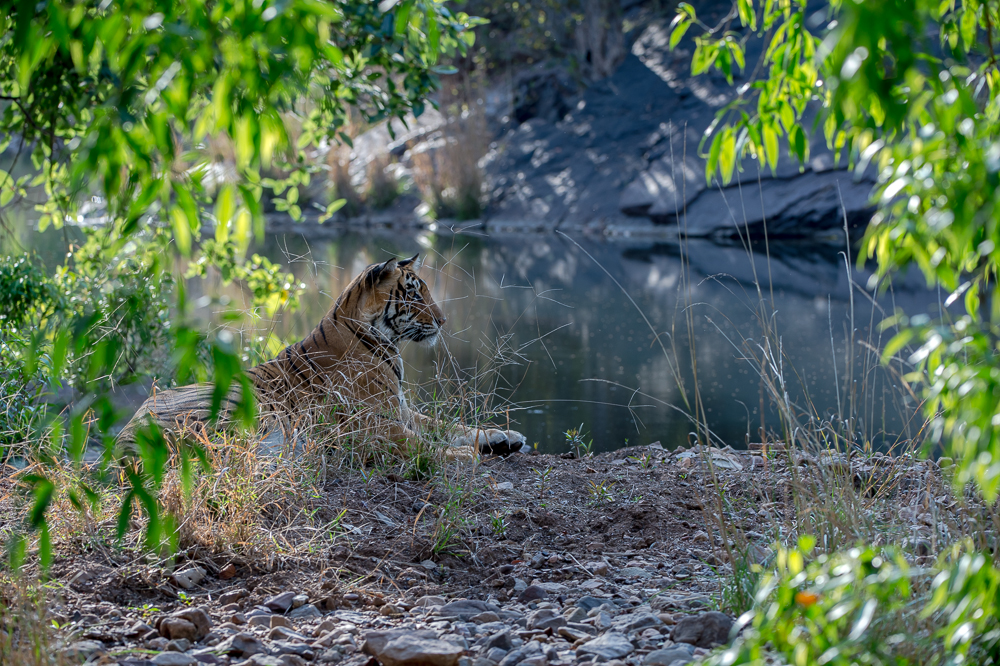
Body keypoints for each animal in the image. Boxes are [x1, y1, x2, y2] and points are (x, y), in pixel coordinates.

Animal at [115, 253, 532, 456]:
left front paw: (503, 436)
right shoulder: (375, 421)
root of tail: (127, 431)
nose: (443, 321)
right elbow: (423, 444)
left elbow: (451, 426)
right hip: (243, 403)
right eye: (414, 293)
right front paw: (467, 458)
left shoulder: (400, 410)